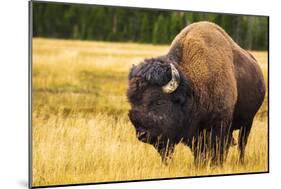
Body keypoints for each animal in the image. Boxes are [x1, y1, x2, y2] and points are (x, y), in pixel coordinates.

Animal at [127, 21, 264, 165]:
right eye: (132, 102)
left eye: (159, 101)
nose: (142, 134)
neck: (192, 86)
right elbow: (198, 152)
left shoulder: (219, 126)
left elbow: (217, 149)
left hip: (248, 122)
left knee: (242, 144)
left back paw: (240, 161)